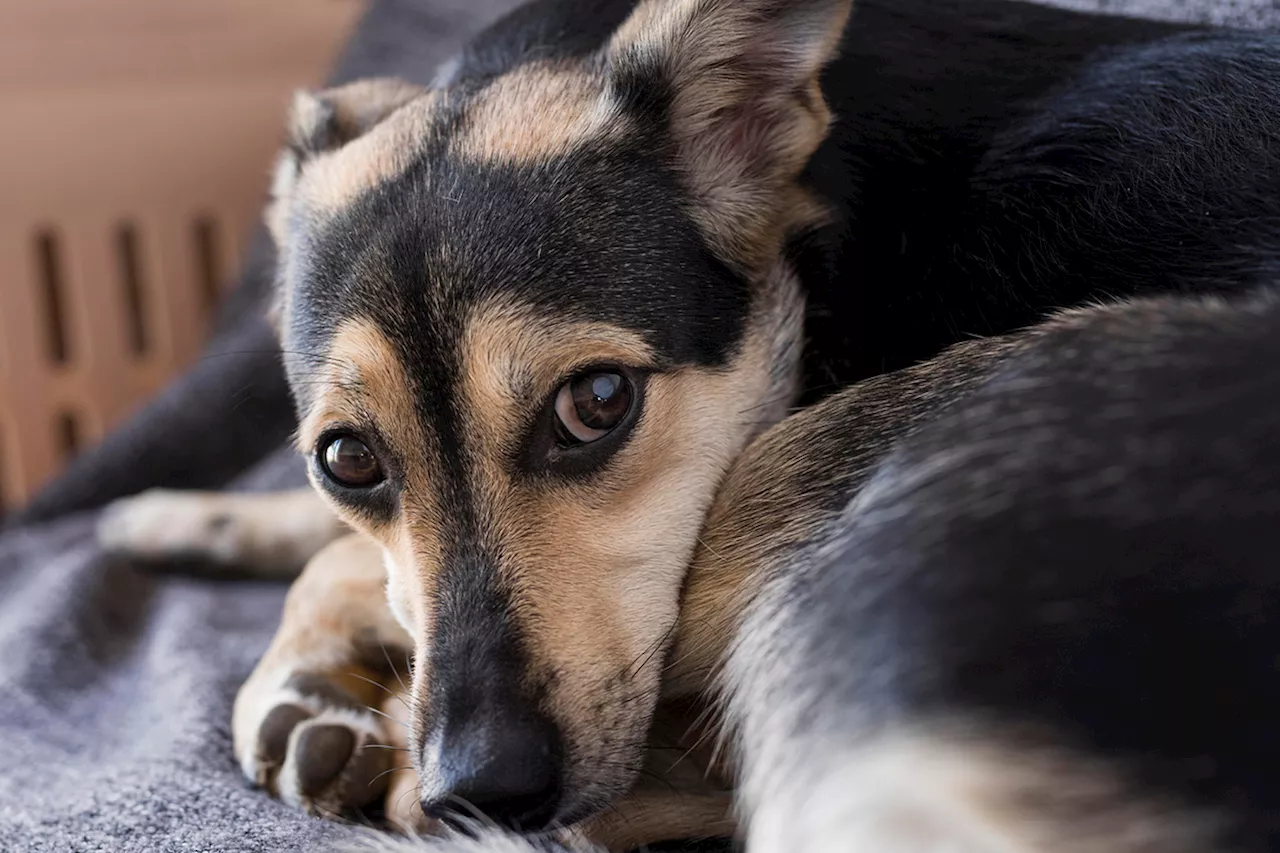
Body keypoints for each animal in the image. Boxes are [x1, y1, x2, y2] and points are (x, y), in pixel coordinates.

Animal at [102, 0, 1280, 845]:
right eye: (347, 459)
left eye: (597, 403)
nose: (477, 789)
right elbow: (336, 545)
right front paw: (178, 517)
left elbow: (343, 568)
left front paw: (302, 670)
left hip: (834, 462)